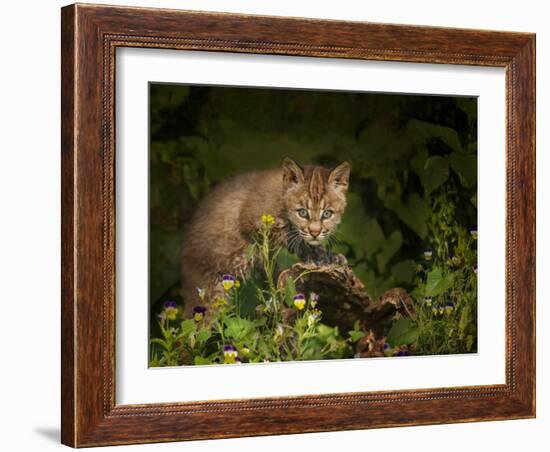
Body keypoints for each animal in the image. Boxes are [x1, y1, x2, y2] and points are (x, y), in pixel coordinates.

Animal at [182, 157, 354, 316]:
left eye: (327, 214)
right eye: (303, 213)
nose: (315, 232)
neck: (282, 199)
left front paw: (329, 256)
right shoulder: (250, 221)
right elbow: (292, 236)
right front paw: (319, 256)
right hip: (210, 293)